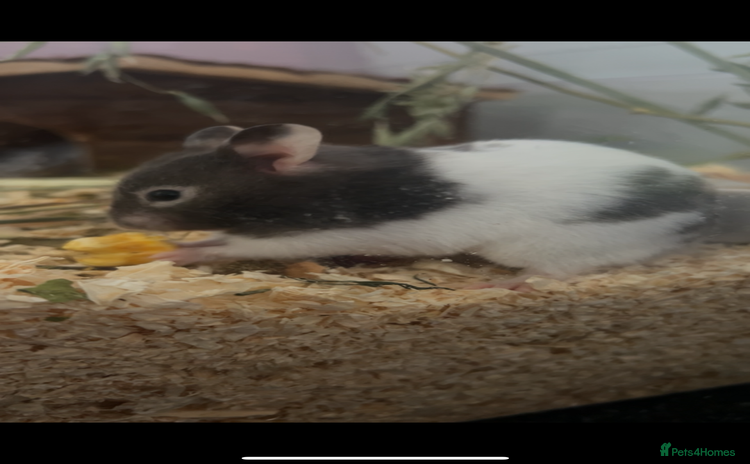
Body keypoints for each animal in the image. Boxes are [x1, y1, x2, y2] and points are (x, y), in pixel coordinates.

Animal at [108, 123, 748, 289]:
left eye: (164, 195)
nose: (115, 218)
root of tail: (706, 201)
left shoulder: (302, 230)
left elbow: (227, 243)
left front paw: (177, 251)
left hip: (561, 244)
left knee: (551, 274)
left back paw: (500, 283)